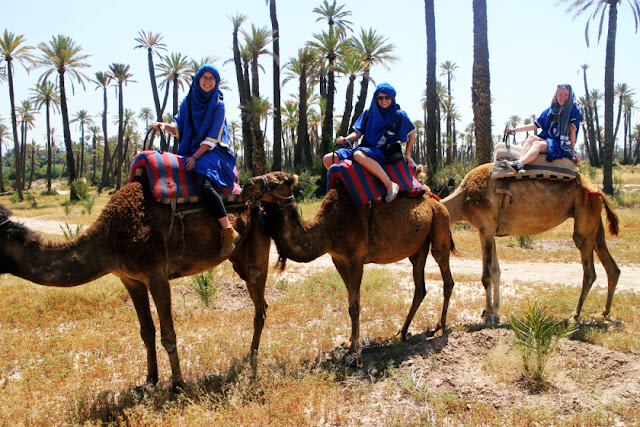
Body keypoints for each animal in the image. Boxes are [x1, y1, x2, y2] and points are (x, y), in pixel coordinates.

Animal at [0, 174, 290, 392]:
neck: (109, 239)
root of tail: (258, 203)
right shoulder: (130, 279)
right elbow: (146, 332)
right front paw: (150, 380)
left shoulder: (156, 276)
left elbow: (168, 334)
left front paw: (177, 385)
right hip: (238, 258)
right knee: (261, 303)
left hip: (256, 248)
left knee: (259, 303)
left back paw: (252, 361)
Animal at [240, 171, 456, 354]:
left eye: (275, 183)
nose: (245, 186)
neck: (328, 228)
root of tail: (434, 200)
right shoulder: (338, 259)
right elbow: (351, 302)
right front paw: (350, 342)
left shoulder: (355, 259)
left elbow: (355, 306)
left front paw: (355, 351)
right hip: (418, 247)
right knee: (420, 287)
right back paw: (402, 332)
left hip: (441, 222)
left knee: (446, 276)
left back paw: (440, 328)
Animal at [440, 164, 620, 324]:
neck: (464, 200)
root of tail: (598, 190)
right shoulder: (491, 231)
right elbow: (497, 271)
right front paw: (496, 314)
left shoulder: (485, 228)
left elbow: (487, 275)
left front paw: (488, 316)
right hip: (594, 221)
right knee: (611, 265)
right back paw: (604, 312)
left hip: (584, 215)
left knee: (589, 269)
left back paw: (574, 315)